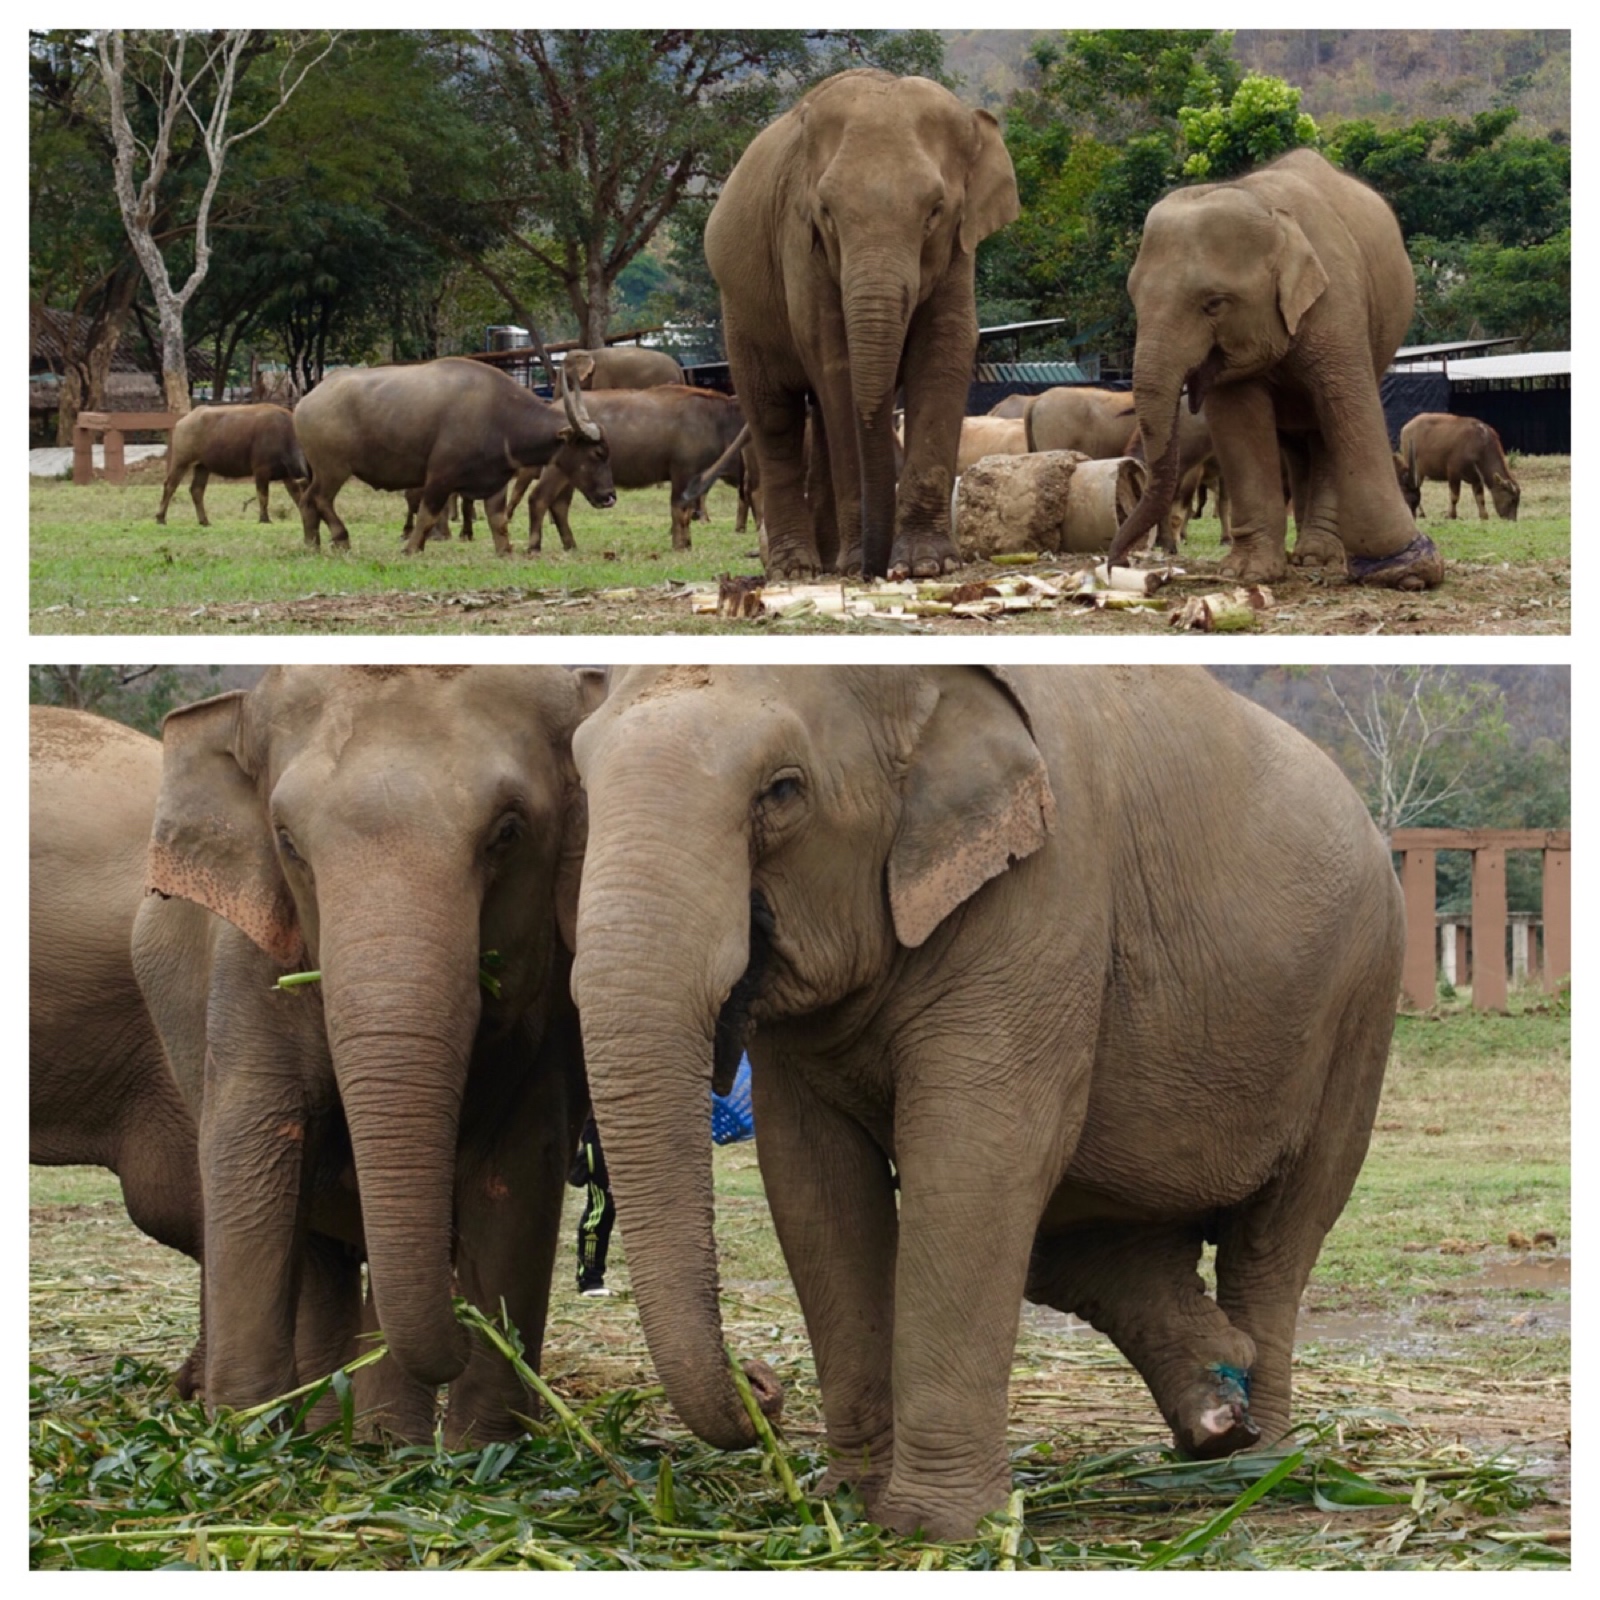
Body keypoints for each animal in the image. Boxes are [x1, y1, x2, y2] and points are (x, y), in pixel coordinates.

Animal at [129, 665, 599, 1443]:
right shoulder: (249, 968)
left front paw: (485, 1450)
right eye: (287, 841)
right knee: (323, 1250)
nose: (465, 1325)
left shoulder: (553, 1003)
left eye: (508, 832)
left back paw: (380, 1440)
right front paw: (243, 1436)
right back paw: (329, 1429)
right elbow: (252, 1151)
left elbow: (518, 1170)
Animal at [569, 665, 1405, 1541]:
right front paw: (852, 1505)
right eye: (583, 781)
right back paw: (1219, 1414)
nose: (763, 1384)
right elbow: (815, 1189)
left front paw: (935, 1529)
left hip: (1360, 1005)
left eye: (784, 790)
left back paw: (1258, 1463)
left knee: (1276, 1238)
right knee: (1089, 1241)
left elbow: (972, 1165)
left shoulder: (1045, 893)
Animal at [704, 69, 1019, 582]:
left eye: (935, 211)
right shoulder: (799, 243)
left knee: (818, 420)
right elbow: (837, 364)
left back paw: (828, 561)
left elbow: (945, 351)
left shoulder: (959, 250)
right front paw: (862, 562)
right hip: (739, 311)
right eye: (826, 212)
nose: (875, 569)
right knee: (776, 416)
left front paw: (926, 565)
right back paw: (800, 569)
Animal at [1109, 149, 1443, 592]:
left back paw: (1319, 556)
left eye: (1214, 304)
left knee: (1325, 430)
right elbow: (1240, 422)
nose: (1118, 564)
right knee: (1301, 443)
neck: (1263, 205)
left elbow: (1350, 406)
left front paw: (1408, 569)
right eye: (1133, 298)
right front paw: (1246, 573)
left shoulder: (1337, 299)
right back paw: (1307, 555)